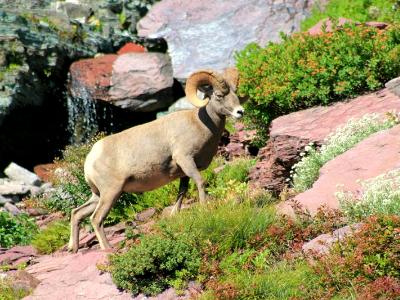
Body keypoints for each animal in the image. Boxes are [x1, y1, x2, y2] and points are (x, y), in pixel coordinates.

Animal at [68, 67, 242, 251]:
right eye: (218, 95)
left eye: (235, 93)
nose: (240, 112)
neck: (201, 124)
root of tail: (90, 159)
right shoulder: (186, 160)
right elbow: (200, 183)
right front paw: (204, 208)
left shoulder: (183, 173)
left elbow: (182, 192)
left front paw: (174, 214)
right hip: (110, 193)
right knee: (96, 218)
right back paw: (108, 249)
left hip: (98, 195)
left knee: (77, 213)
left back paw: (73, 248)